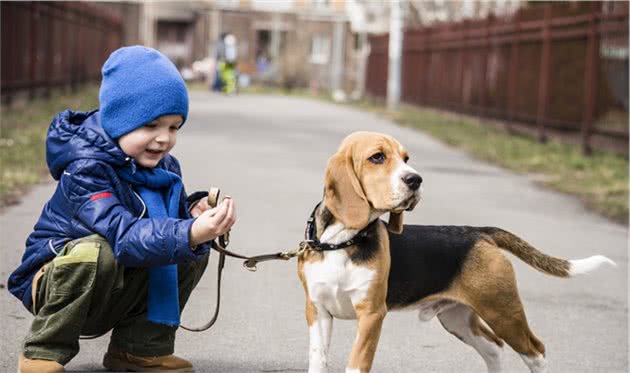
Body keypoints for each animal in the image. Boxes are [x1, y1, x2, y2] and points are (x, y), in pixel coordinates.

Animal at [298, 132, 616, 372]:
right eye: (377, 157)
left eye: (406, 159)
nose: (416, 180)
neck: (341, 242)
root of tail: (479, 232)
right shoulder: (318, 310)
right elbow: (317, 360)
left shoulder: (372, 314)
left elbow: (356, 363)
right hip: (458, 318)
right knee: (494, 348)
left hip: (503, 311)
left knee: (536, 351)